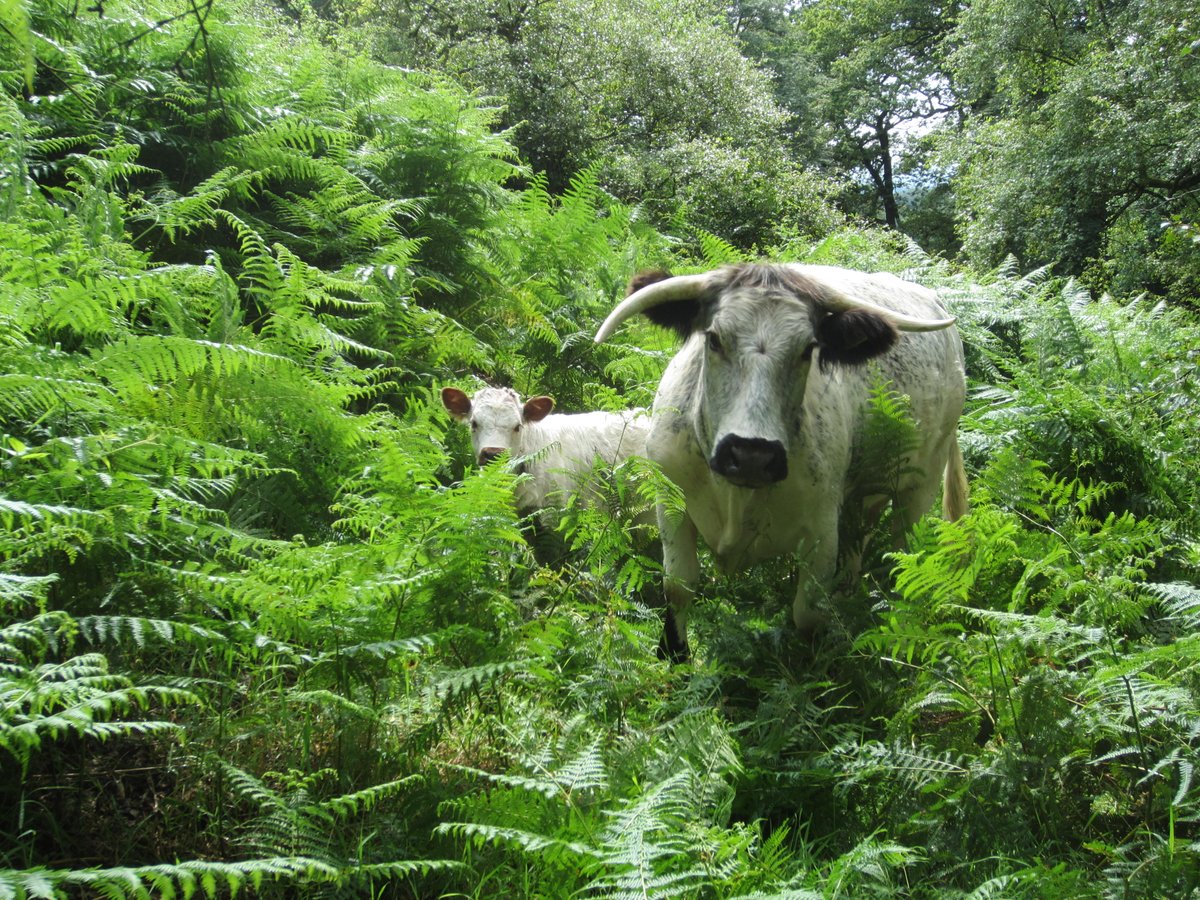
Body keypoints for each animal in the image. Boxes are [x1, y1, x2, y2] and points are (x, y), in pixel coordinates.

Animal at [594, 263, 968, 661]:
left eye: (807, 350)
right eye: (714, 339)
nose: (751, 456)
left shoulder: (822, 529)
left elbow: (808, 612)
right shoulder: (670, 500)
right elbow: (679, 585)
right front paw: (674, 654)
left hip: (921, 485)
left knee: (905, 556)